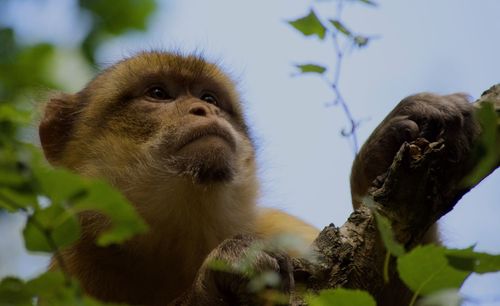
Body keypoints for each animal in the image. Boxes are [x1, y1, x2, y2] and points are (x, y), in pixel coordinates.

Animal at [38, 50, 476, 306]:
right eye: (159, 93)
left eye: (209, 98)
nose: (204, 110)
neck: (174, 241)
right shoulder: (70, 272)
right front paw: (220, 275)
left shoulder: (279, 228)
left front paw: (378, 161)